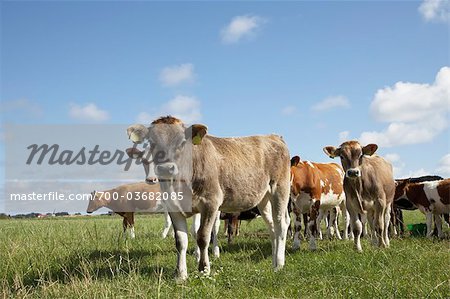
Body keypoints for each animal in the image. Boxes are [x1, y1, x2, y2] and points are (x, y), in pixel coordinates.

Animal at [125, 116, 292, 282]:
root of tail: (273, 136)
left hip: (279, 189)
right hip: (263, 199)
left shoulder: (211, 203)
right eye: (152, 142)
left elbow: (203, 236)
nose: (166, 168)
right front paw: (180, 274)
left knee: (281, 224)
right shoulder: (173, 207)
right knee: (272, 227)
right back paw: (273, 260)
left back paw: (279, 264)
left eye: (182, 142)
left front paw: (204, 269)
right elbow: (181, 240)